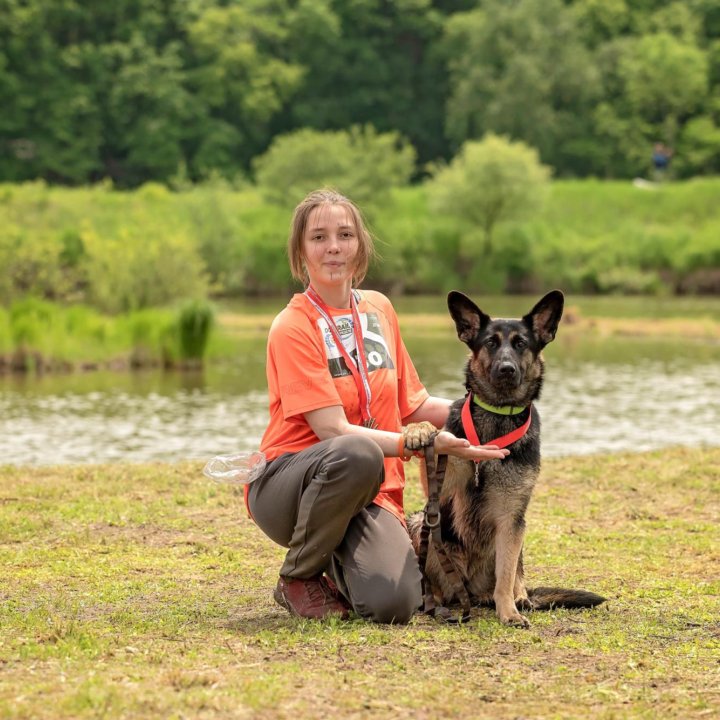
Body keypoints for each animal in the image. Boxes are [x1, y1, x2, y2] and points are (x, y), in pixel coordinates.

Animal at [408, 290, 604, 628]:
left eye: (521, 343)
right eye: (490, 342)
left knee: (515, 575)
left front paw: (509, 611)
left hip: (517, 535)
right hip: (422, 523)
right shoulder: (441, 484)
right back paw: (433, 601)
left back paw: (519, 598)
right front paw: (418, 429)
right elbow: (436, 437)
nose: (506, 368)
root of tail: (469, 592)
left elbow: (507, 573)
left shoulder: (511, 518)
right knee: (434, 582)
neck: (497, 415)